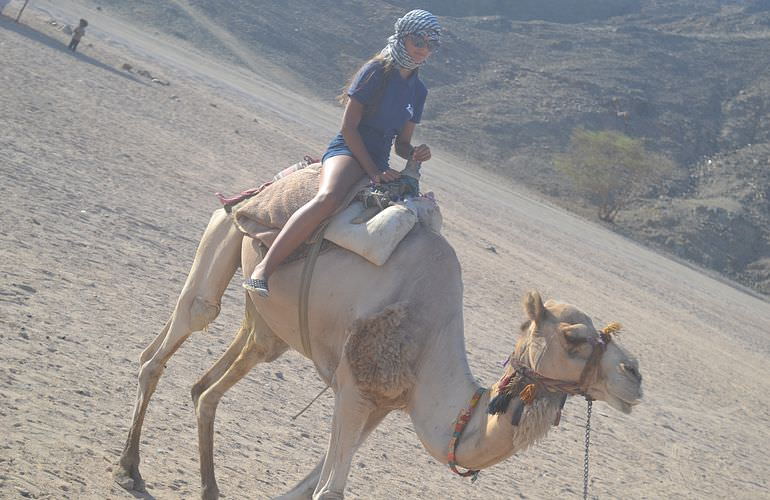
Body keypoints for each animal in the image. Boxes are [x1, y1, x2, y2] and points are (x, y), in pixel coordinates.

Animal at [114, 205, 640, 498]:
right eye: (574, 339)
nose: (635, 375)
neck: (431, 343)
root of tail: (247, 195)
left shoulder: (386, 402)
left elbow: (311, 483)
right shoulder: (354, 387)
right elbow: (329, 489)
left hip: (267, 326)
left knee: (211, 386)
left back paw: (209, 487)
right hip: (221, 240)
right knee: (166, 346)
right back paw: (129, 470)